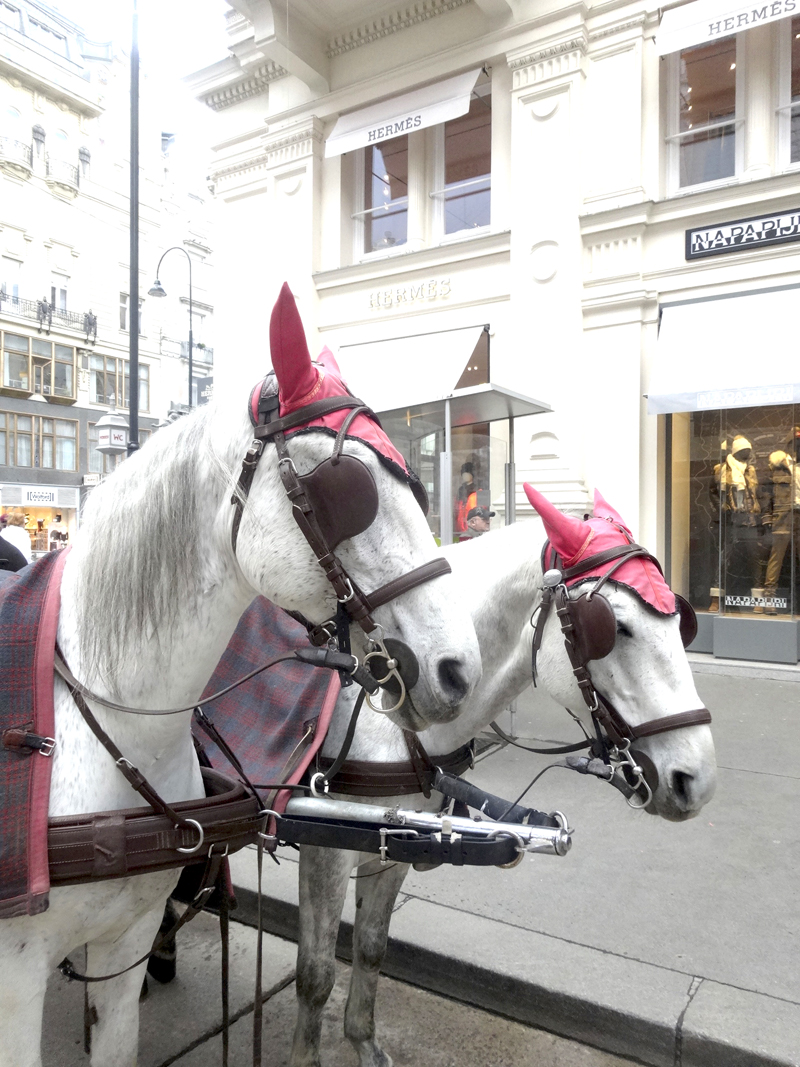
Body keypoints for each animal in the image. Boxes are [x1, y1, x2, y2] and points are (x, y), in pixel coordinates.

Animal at [292, 488, 716, 1067]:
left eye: (683, 621)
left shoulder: (392, 837)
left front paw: (364, 1042)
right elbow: (314, 976)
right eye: (616, 626)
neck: (387, 713)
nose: (697, 779)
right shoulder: (324, 846)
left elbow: (372, 949)